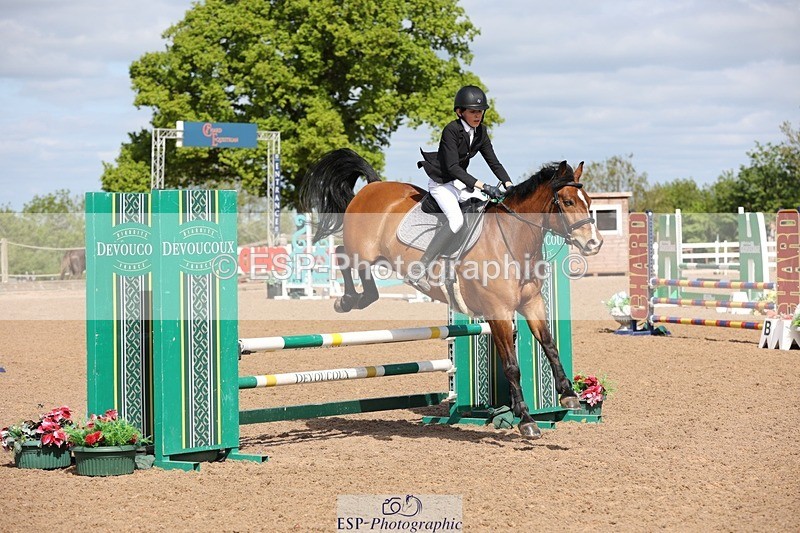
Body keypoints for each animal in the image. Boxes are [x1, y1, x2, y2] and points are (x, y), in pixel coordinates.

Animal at [299, 148, 603, 438]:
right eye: (567, 202)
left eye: (588, 200)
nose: (594, 243)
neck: (512, 239)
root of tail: (373, 186)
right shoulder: (498, 312)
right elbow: (512, 366)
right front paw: (527, 420)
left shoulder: (532, 304)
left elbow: (550, 345)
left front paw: (568, 395)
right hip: (360, 250)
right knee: (342, 255)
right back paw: (347, 300)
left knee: (360, 275)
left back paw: (358, 298)